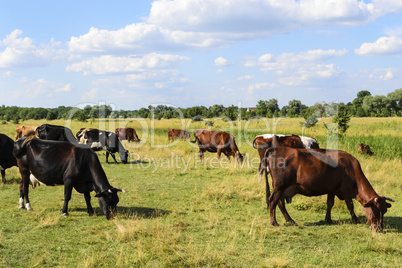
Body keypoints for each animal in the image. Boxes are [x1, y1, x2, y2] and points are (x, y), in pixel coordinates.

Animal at [264, 135, 392, 231]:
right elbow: (350, 205)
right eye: (376, 212)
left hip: (281, 189)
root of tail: (276, 150)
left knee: (280, 203)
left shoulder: (332, 189)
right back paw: (274, 222)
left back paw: (290, 220)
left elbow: (330, 204)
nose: (379, 229)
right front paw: (355, 220)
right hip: (279, 187)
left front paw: (328, 219)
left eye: (384, 212)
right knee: (273, 201)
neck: (351, 168)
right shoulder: (346, 191)